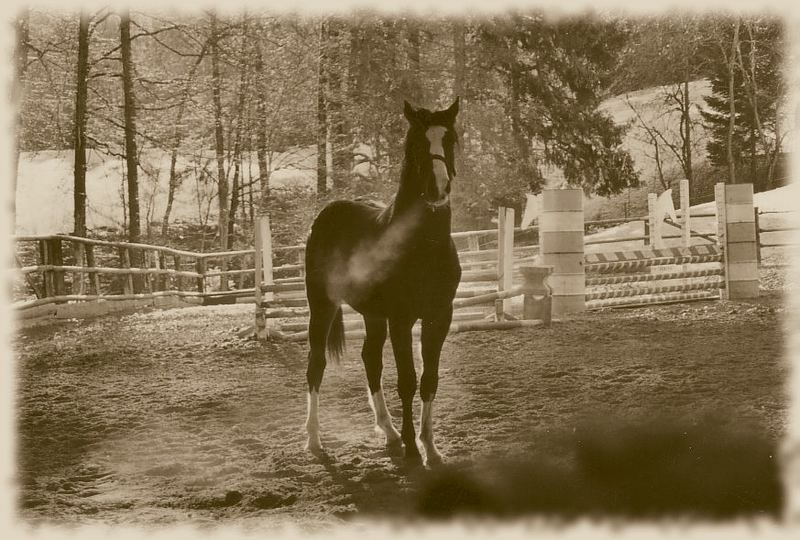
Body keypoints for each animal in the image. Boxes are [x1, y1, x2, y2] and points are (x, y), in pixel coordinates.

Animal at [302, 99, 462, 466]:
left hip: (373, 315)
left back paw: (388, 432)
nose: (438, 188)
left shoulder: (439, 316)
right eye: (415, 144)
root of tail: (326, 214)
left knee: (370, 360)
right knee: (316, 365)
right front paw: (414, 450)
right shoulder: (401, 320)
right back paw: (315, 440)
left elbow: (429, 380)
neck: (424, 248)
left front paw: (431, 448)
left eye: (450, 139)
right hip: (322, 305)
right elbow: (407, 381)